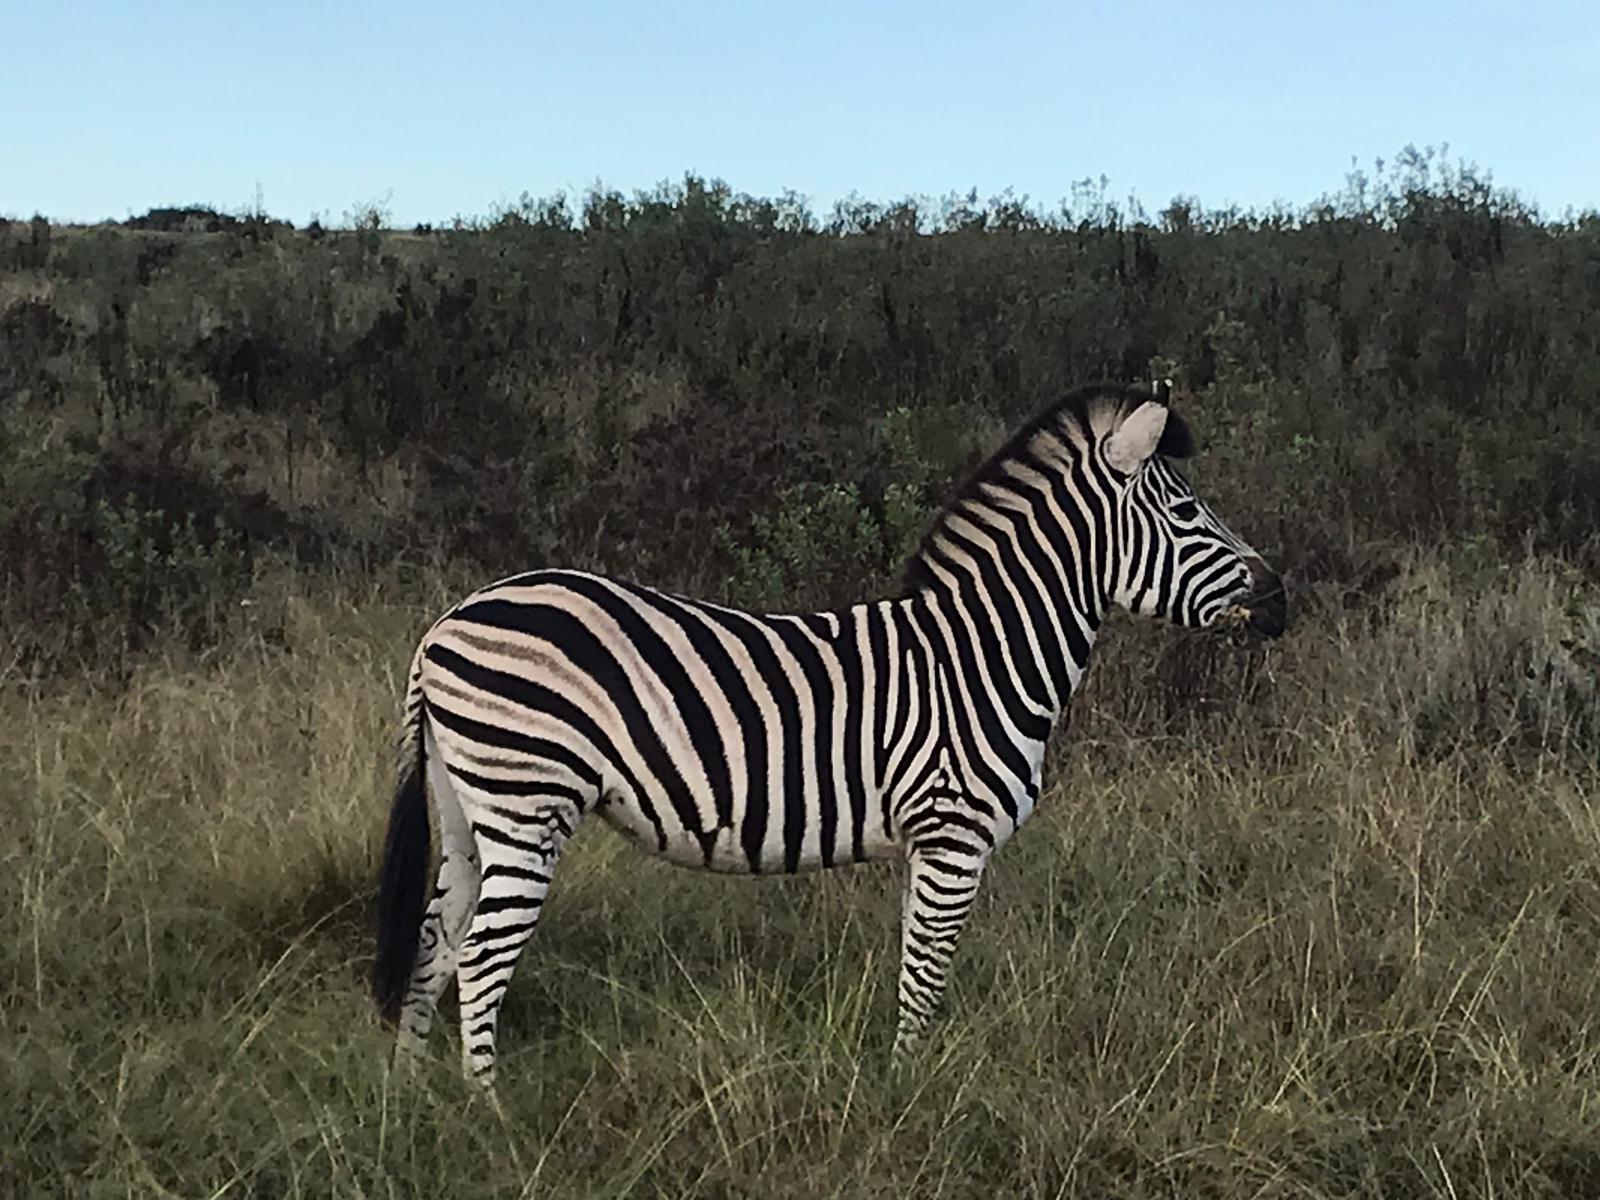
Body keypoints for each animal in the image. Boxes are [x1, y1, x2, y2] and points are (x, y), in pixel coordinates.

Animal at [371, 380, 1286, 1088]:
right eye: (1187, 511)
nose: (1283, 600)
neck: (983, 654)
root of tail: (445, 625)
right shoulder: (952, 835)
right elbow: (924, 978)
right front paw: (906, 1091)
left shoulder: (932, 842)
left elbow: (918, 968)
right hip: (528, 800)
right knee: (480, 960)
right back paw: (490, 1111)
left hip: (470, 807)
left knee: (435, 942)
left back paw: (415, 1098)